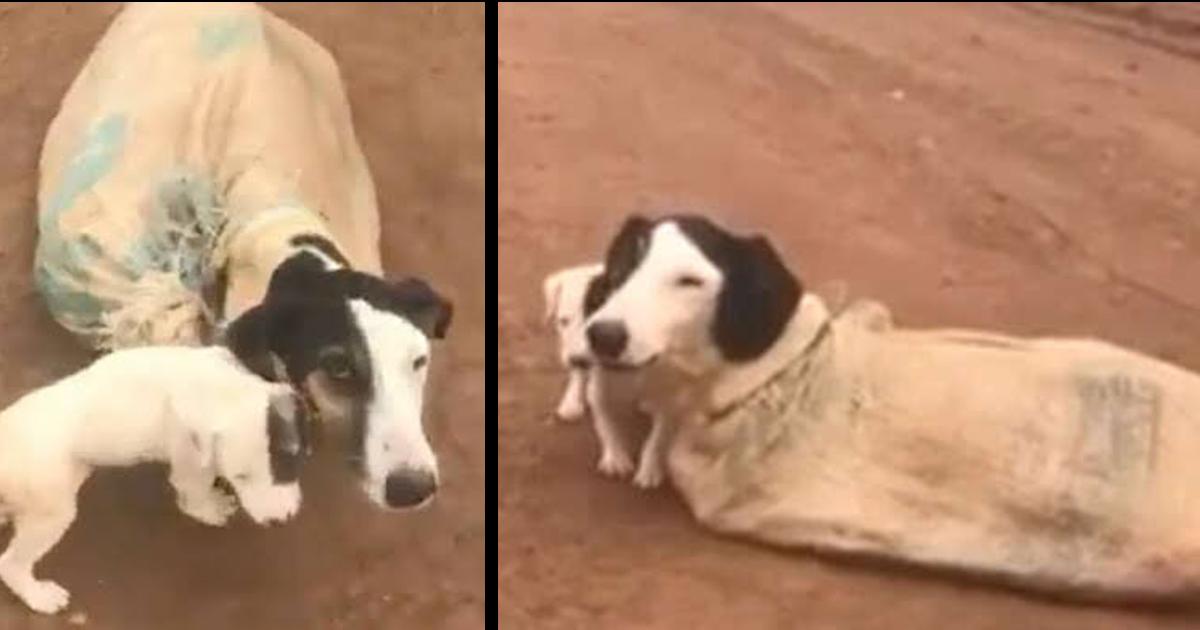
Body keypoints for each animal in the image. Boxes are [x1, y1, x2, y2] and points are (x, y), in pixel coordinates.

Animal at [0, 343, 304, 614]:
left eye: (288, 466)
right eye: (241, 476)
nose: (278, 521)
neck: (219, 389)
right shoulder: (190, 459)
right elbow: (195, 494)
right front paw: (210, 509)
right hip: (50, 510)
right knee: (10, 563)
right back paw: (39, 596)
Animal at [544, 262, 676, 489]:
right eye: (563, 321)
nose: (578, 360)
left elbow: (659, 435)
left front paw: (650, 466)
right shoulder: (598, 387)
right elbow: (606, 423)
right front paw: (615, 457)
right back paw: (571, 402)